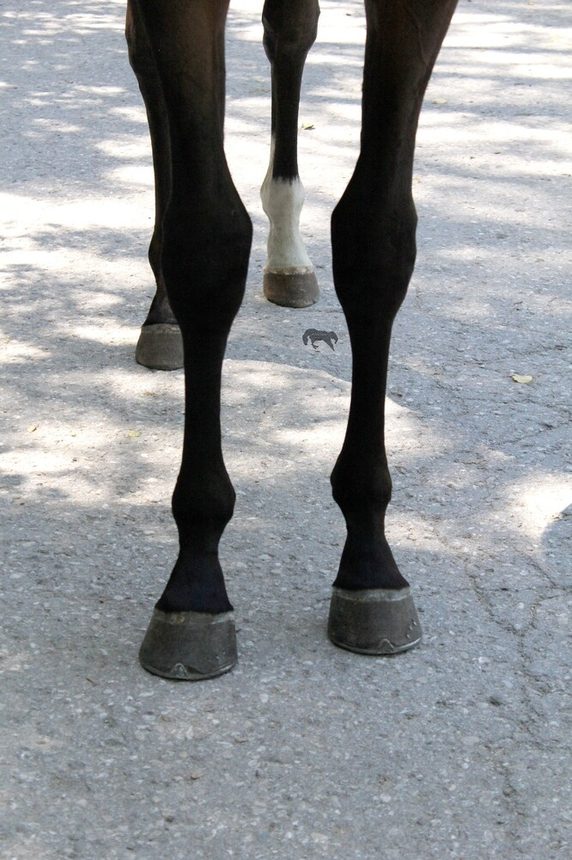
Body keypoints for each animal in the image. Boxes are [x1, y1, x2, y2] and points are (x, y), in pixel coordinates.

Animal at [126, 0, 458, 679]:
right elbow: (207, 237)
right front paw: (195, 579)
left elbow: (377, 235)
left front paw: (371, 560)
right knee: (147, 63)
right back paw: (165, 315)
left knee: (290, 32)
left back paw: (287, 256)